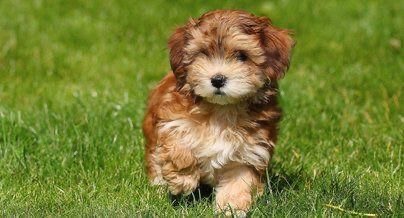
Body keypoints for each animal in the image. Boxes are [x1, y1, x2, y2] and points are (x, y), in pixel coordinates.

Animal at [142, 9, 294, 214]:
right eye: (203, 53)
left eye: (242, 56)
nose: (218, 79)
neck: (222, 110)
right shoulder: (172, 119)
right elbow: (179, 142)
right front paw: (182, 179)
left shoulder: (249, 152)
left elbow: (239, 182)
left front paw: (231, 209)